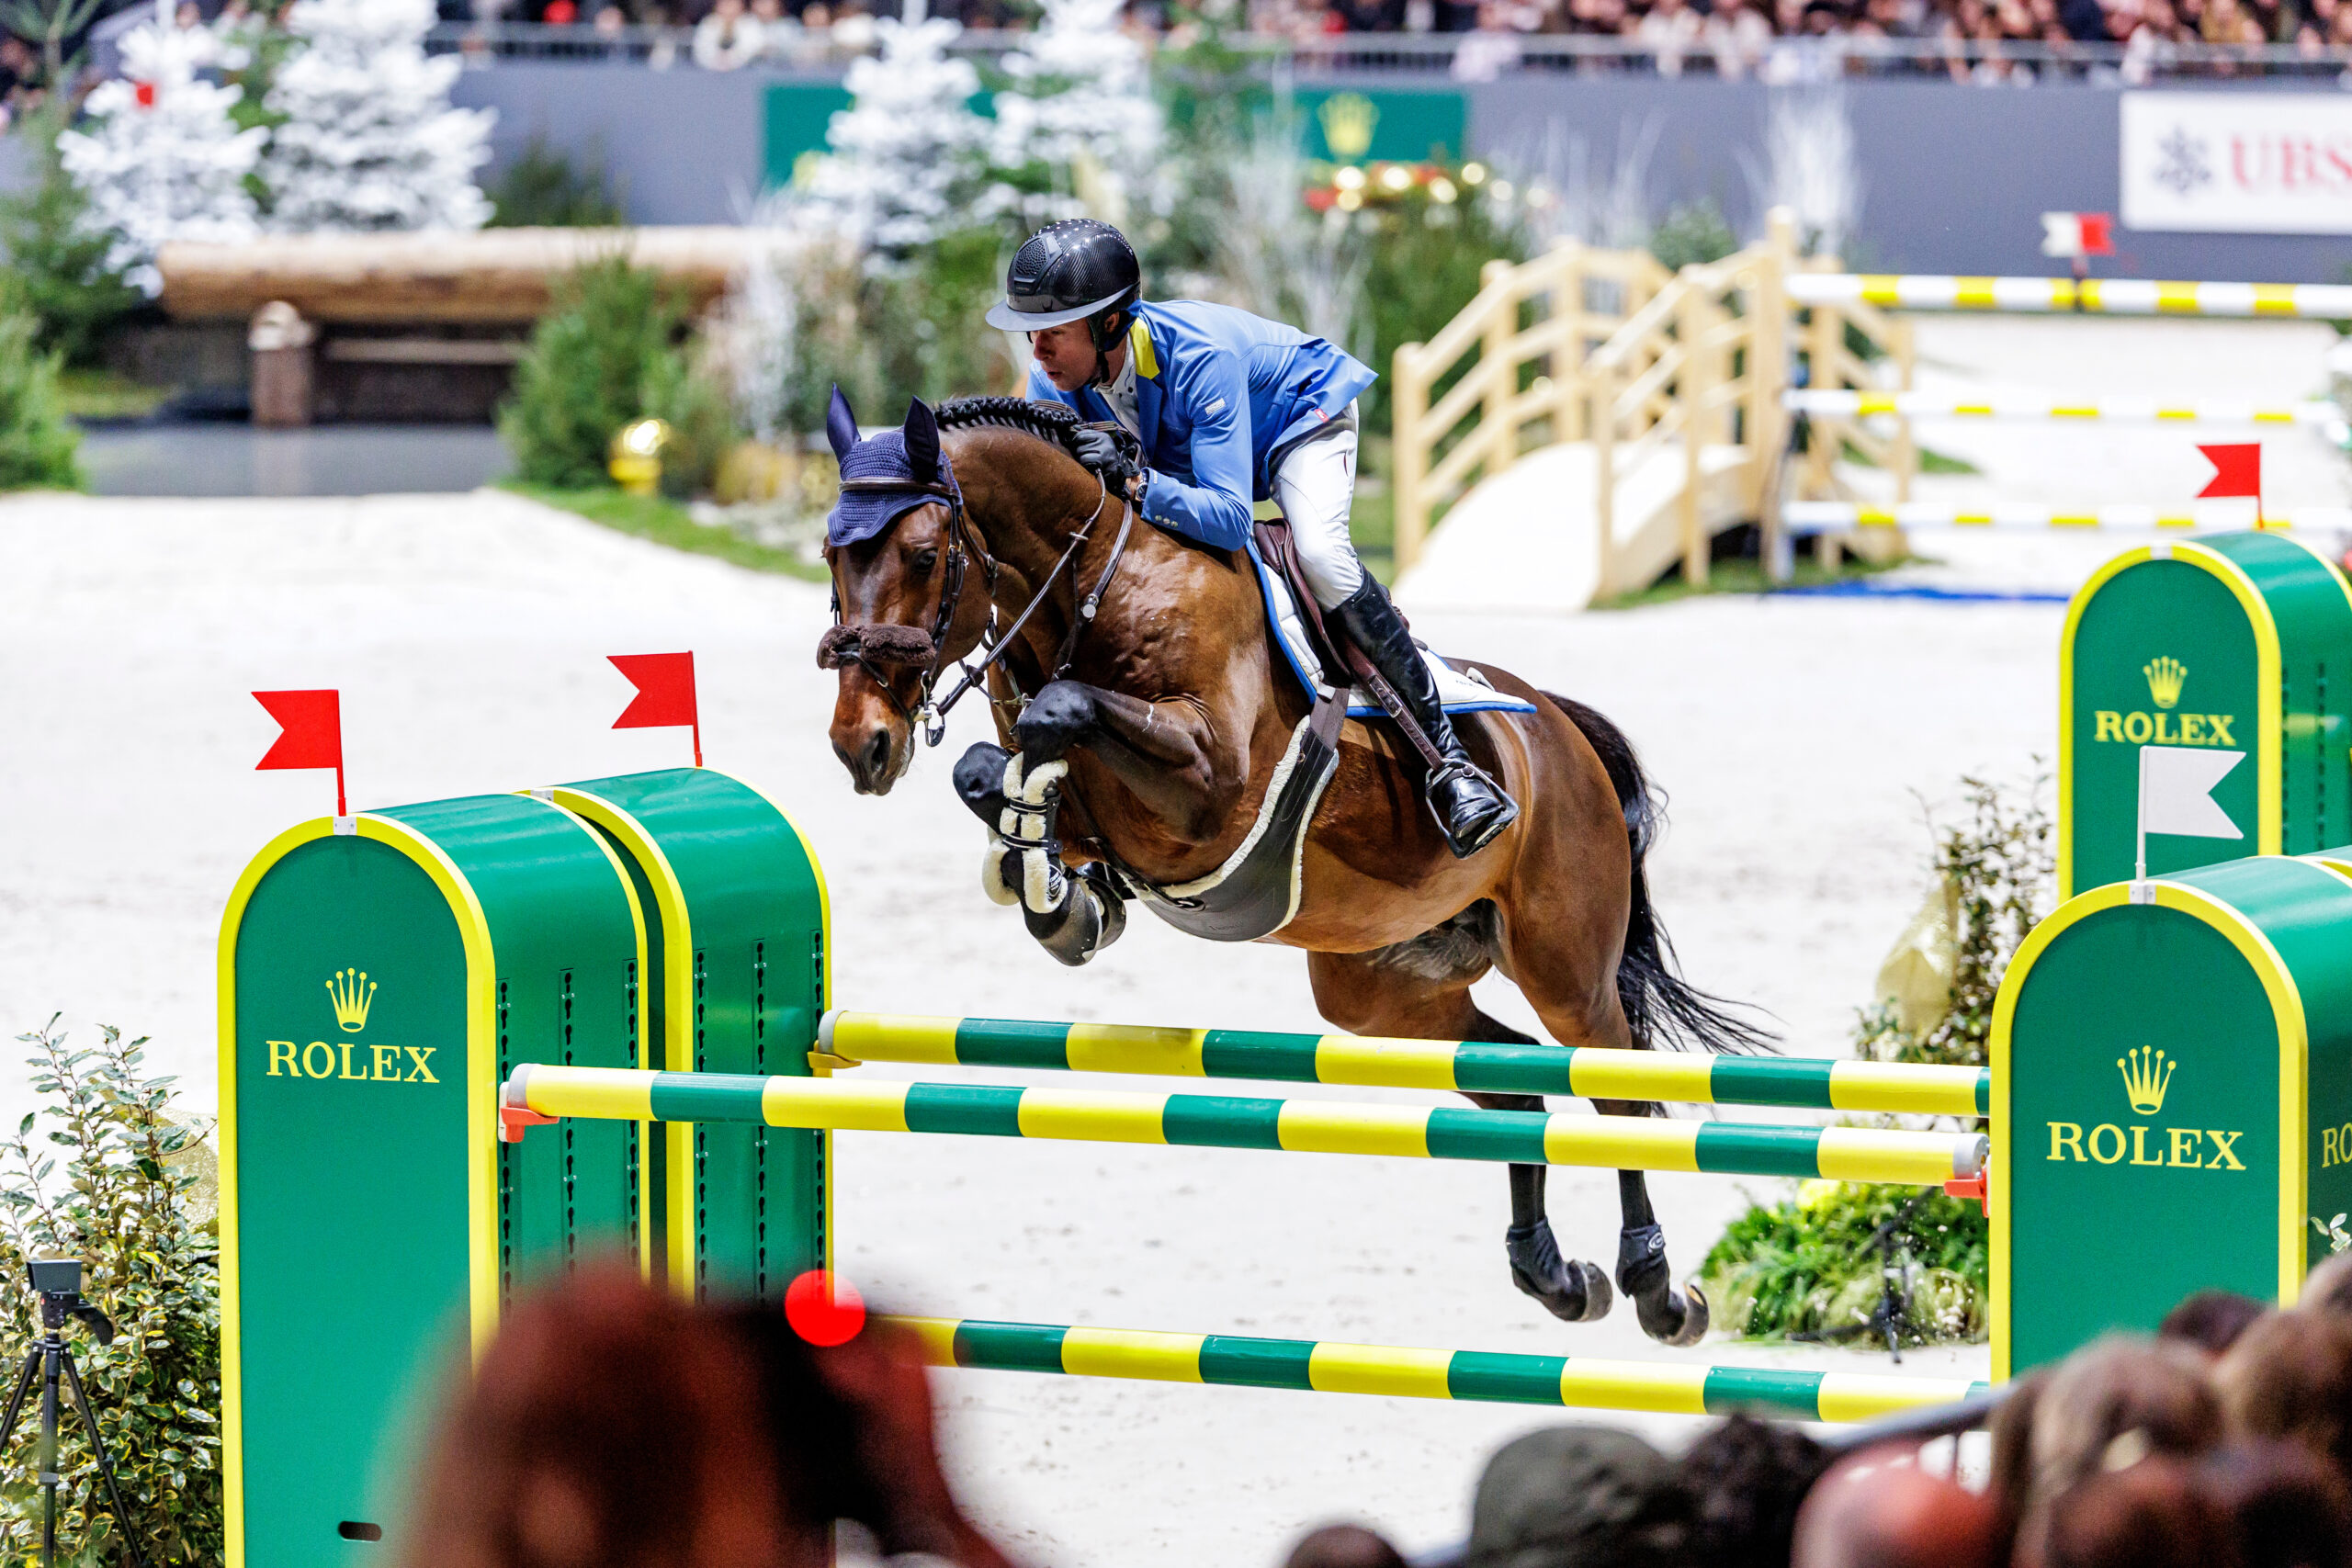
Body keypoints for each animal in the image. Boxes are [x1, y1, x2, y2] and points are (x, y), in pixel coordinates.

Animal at [817, 393, 1770, 1346]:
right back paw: (1556, 1276)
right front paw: (1060, 900)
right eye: (831, 554)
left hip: (1564, 965)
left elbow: (1064, 711)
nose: (861, 745)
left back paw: (1658, 1290)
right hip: (1382, 993)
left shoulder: (1207, 788)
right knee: (1516, 1086)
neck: (1094, 583)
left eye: (925, 555)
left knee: (1621, 1091)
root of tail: (1562, 728)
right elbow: (993, 770)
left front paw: (1054, 877)